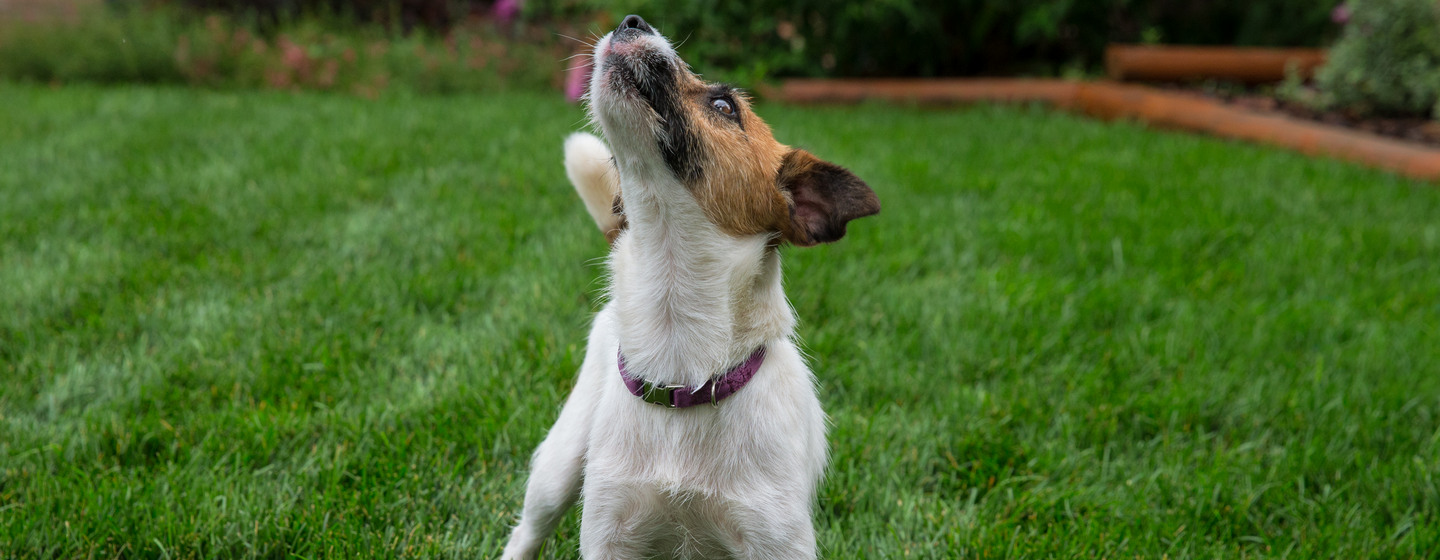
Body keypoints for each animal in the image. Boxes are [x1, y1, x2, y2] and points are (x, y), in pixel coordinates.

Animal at [501, 15, 881, 555]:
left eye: (725, 106)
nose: (631, 20)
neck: (684, 372)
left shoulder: (774, 539)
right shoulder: (610, 532)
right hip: (559, 466)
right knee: (527, 531)